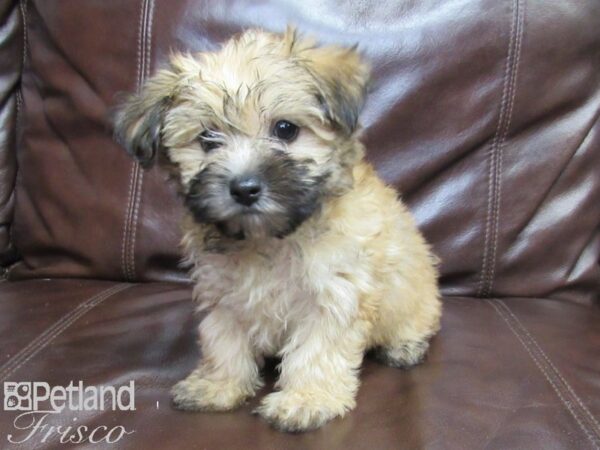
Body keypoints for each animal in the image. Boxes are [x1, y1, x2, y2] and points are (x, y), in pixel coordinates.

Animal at [113, 25, 440, 432]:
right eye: (207, 139)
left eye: (285, 129)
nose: (244, 188)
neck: (268, 238)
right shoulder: (223, 292)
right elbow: (223, 341)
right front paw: (218, 385)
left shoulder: (335, 294)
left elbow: (317, 350)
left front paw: (306, 399)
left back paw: (404, 346)